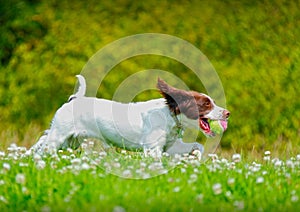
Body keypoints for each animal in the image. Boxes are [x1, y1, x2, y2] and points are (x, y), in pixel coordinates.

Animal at [29, 75, 230, 155]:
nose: (227, 113)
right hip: (59, 135)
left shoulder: (170, 146)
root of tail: (74, 100)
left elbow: (197, 146)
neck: (168, 115)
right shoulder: (153, 149)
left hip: (70, 141)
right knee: (43, 145)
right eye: (206, 104)